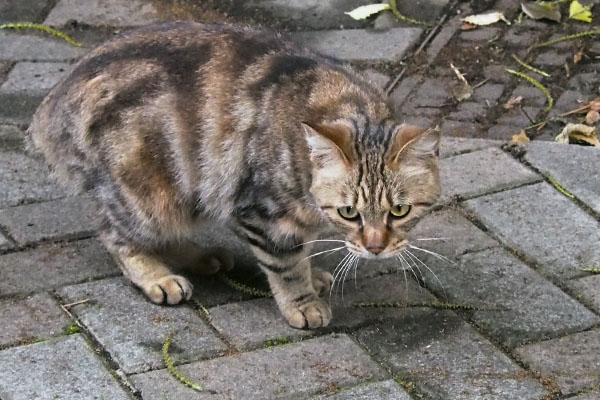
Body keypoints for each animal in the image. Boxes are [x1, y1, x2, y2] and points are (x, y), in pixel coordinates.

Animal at [27, 21, 440, 328]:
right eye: (349, 212)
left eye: (400, 211)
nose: (375, 247)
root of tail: (58, 95)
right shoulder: (262, 213)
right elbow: (286, 265)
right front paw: (301, 301)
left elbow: (301, 253)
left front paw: (313, 275)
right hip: (149, 195)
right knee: (117, 234)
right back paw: (157, 276)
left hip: (188, 193)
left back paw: (200, 257)